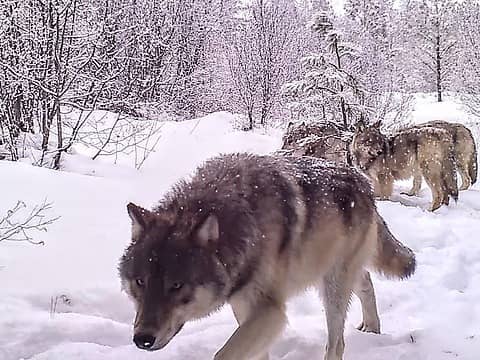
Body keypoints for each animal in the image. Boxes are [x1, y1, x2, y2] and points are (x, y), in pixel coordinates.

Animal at [118, 153, 414, 360]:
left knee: (337, 341)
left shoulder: (270, 310)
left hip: (332, 287)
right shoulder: (243, 305)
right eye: (140, 282)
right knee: (366, 281)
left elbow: (224, 354)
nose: (142, 339)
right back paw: (372, 327)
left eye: (176, 285)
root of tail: (363, 181)